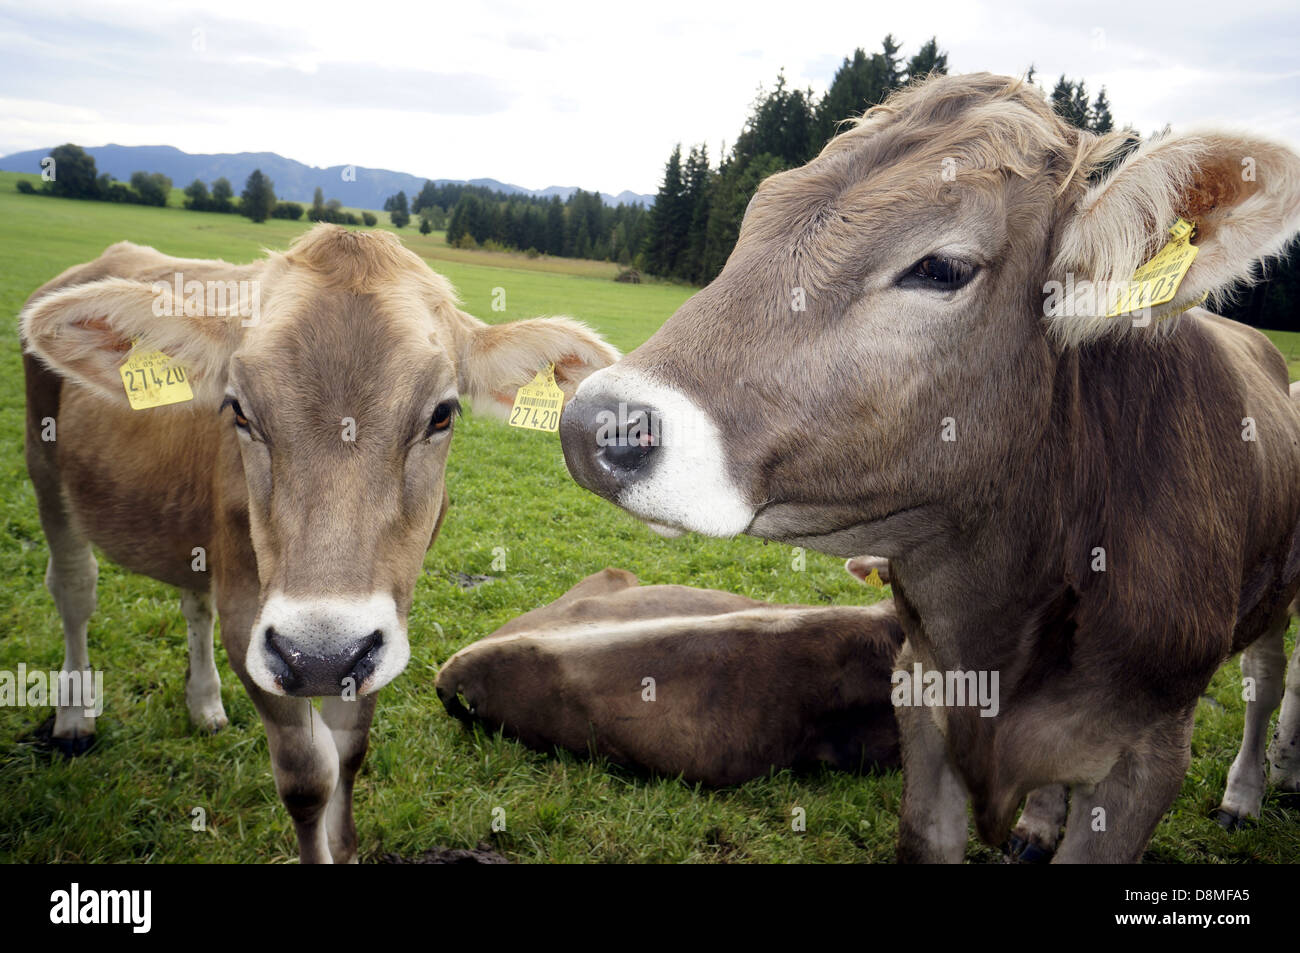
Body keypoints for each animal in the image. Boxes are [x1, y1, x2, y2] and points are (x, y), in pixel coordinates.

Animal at [20, 224, 618, 863]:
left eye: (442, 413)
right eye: (237, 409)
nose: (322, 656)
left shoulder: (383, 629)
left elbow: (349, 755)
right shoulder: (252, 626)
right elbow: (309, 776)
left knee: (192, 601)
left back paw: (204, 704)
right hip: (44, 464)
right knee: (74, 589)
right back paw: (74, 718)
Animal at [558, 72, 1300, 863]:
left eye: (941, 268)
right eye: (755, 219)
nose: (591, 423)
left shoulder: (1150, 753)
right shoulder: (920, 694)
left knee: (1267, 677)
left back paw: (1253, 789)